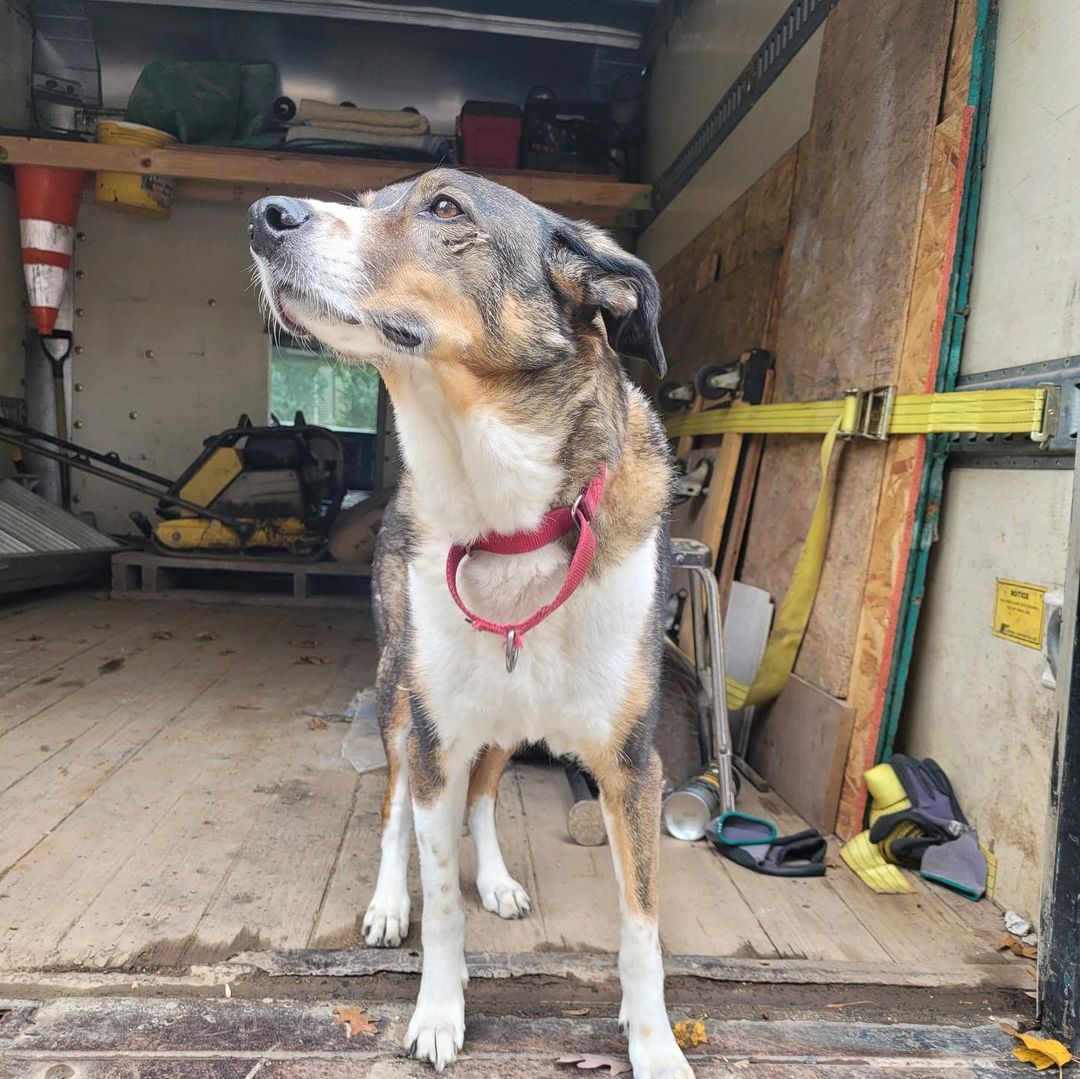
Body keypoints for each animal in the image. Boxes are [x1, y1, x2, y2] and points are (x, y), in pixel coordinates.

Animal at [247, 170, 691, 1079]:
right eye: (367, 203)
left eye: (445, 208)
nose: (263, 217)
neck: (508, 517)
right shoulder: (435, 731)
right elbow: (440, 895)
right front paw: (439, 1012)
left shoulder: (633, 765)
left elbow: (641, 927)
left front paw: (655, 1046)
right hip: (398, 694)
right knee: (393, 812)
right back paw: (389, 900)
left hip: (501, 723)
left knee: (485, 794)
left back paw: (497, 877)